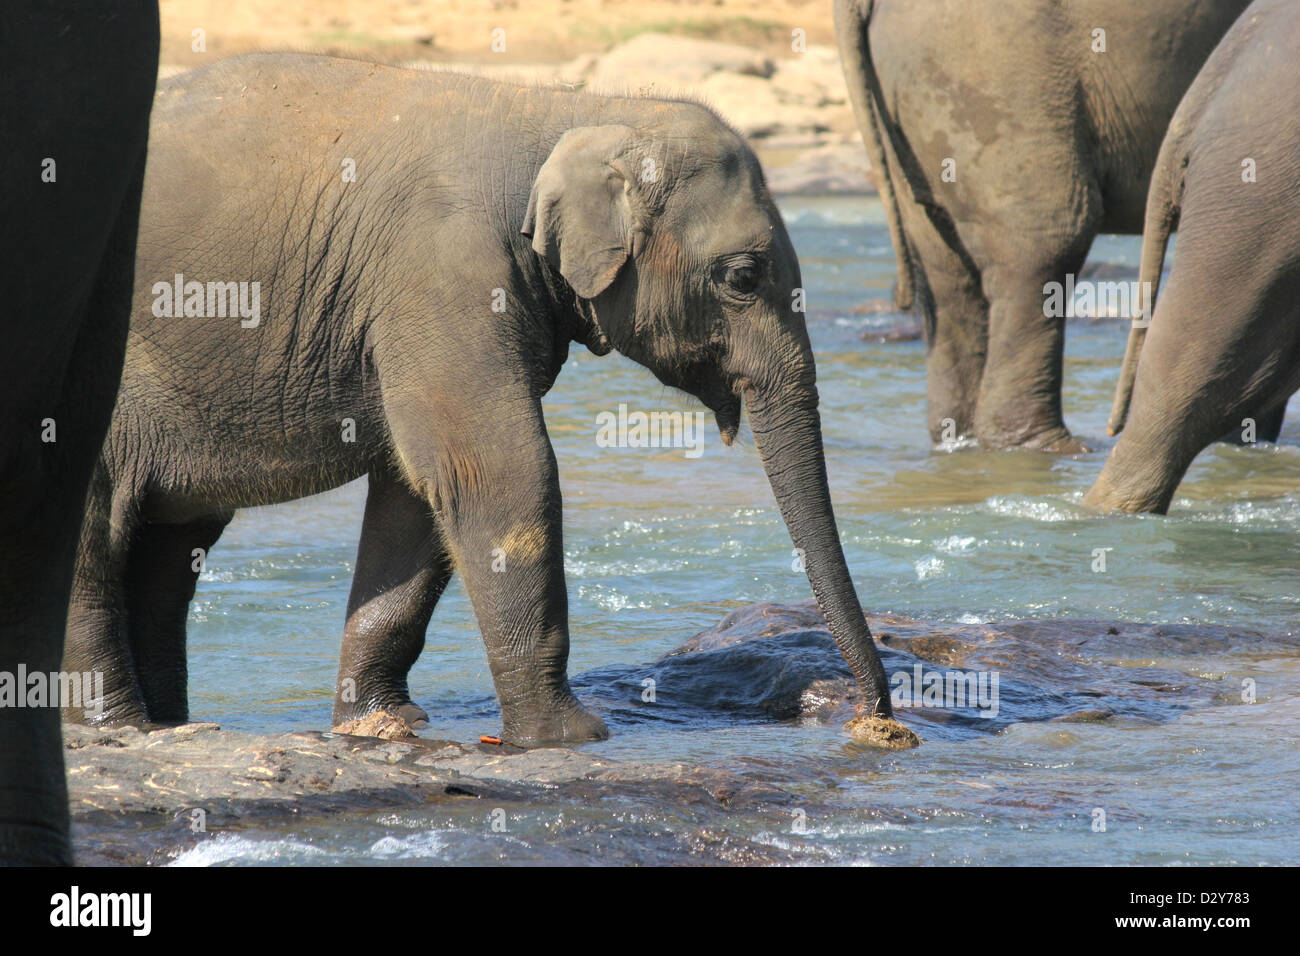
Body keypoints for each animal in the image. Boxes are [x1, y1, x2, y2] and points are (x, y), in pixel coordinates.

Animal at [63, 54, 915, 754]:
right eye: (743, 276)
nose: (876, 717)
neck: (572, 110)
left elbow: (418, 495)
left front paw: (382, 725)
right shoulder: (442, 275)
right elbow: (499, 471)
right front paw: (570, 738)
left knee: (172, 544)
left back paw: (171, 725)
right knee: (95, 530)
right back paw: (122, 731)